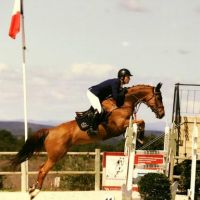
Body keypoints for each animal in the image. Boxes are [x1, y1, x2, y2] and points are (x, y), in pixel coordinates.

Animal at [10, 82, 165, 198]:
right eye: (159, 97)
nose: (162, 114)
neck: (123, 102)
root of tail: (50, 131)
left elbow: (140, 122)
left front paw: (140, 139)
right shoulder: (120, 125)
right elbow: (141, 121)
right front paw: (141, 138)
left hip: (58, 154)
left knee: (41, 168)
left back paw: (32, 188)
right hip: (56, 155)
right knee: (43, 170)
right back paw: (34, 192)